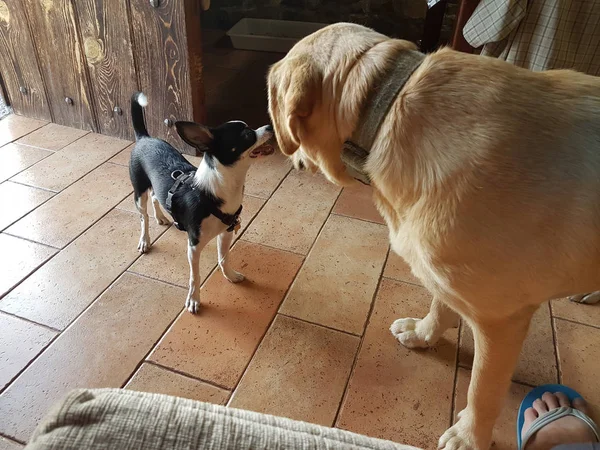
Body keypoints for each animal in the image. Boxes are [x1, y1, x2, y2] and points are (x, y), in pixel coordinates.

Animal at [130, 92, 276, 312]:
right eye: (247, 134)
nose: (270, 126)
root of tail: (144, 138)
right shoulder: (194, 247)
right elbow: (195, 277)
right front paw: (194, 299)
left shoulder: (226, 233)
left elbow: (224, 258)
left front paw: (230, 276)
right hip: (139, 193)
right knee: (143, 217)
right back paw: (145, 240)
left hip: (155, 187)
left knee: (156, 197)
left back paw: (161, 217)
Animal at [268, 22, 600, 448]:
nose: (283, 153)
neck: (385, 109)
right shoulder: (443, 272)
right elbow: (440, 304)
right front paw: (423, 334)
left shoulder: (502, 320)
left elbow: (482, 390)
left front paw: (469, 436)